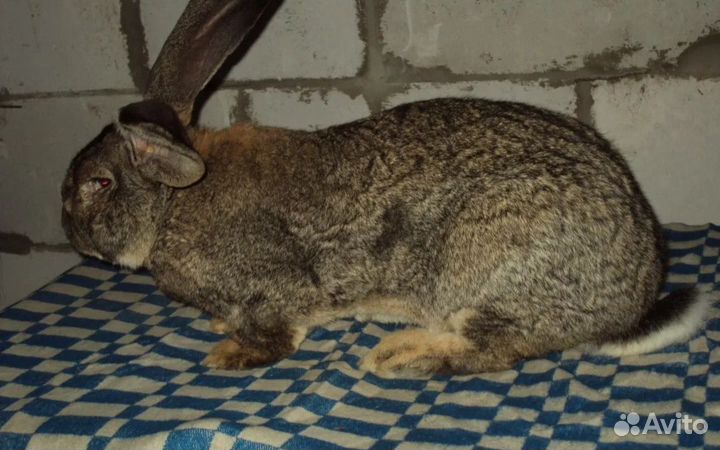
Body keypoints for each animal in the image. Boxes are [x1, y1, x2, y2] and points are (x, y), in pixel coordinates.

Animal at [61, 0, 708, 377]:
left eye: (99, 183)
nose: (69, 232)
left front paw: (230, 353)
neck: (175, 198)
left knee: (498, 347)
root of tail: (635, 297)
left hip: (491, 260)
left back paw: (401, 356)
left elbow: (276, 333)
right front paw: (223, 330)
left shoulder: (274, 291)